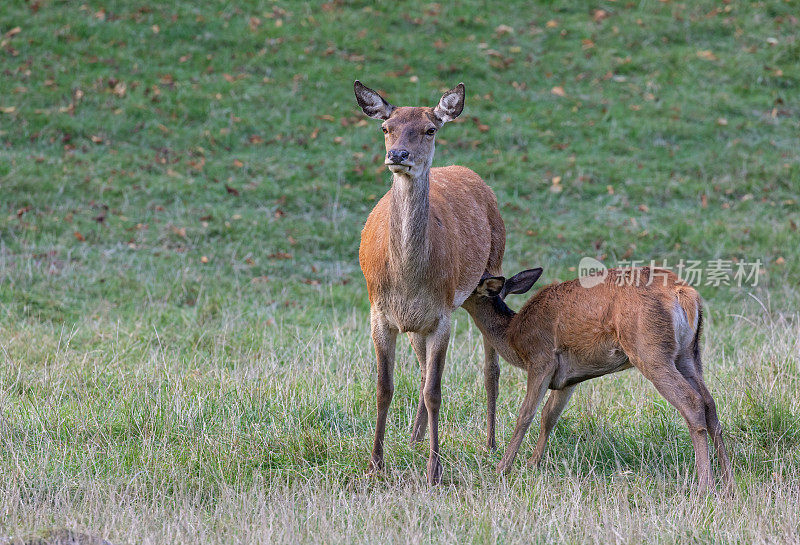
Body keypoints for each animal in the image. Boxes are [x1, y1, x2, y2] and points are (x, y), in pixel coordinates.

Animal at [356, 82, 506, 484]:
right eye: (386, 128)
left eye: (430, 129)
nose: (397, 154)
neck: (408, 279)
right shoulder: (381, 315)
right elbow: (385, 387)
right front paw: (375, 463)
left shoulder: (441, 316)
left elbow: (435, 391)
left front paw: (434, 470)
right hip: (415, 324)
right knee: (423, 368)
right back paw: (414, 437)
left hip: (490, 272)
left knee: (490, 367)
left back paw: (490, 442)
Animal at [466, 264, 736, 492]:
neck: (514, 340)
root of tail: (685, 294)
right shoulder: (567, 378)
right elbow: (549, 416)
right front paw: (533, 463)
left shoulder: (542, 359)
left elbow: (526, 414)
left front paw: (503, 467)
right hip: (689, 354)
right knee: (710, 404)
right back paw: (728, 482)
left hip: (650, 350)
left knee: (692, 402)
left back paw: (706, 486)